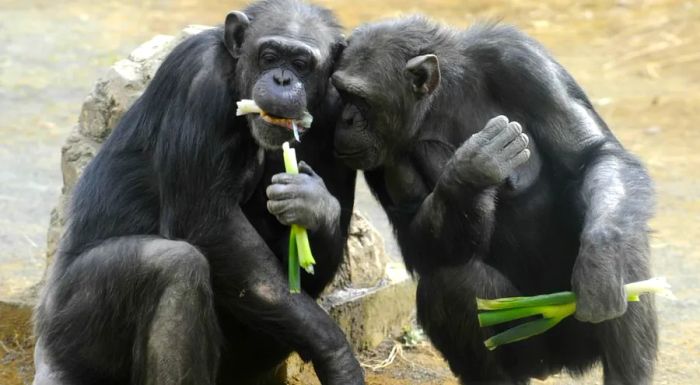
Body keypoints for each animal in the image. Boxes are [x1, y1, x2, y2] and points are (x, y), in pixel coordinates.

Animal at [31, 0, 366, 384]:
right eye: (269, 56)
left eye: (300, 64)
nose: (282, 79)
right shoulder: (200, 80)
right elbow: (207, 226)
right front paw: (336, 353)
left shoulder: (335, 116)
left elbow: (299, 271)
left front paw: (314, 204)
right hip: (71, 331)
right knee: (174, 268)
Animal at [330, 15, 660, 384]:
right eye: (340, 93)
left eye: (360, 99)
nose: (344, 118)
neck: (440, 100)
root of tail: (558, 364)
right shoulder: (386, 161)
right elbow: (419, 244)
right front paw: (471, 169)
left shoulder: (523, 62)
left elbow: (591, 156)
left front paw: (601, 266)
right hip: (528, 348)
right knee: (453, 284)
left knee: (626, 239)